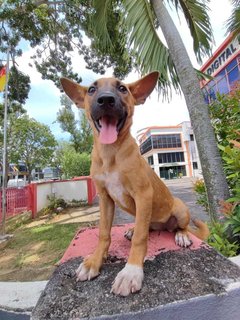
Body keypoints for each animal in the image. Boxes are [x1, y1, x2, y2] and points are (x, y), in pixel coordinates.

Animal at [60, 71, 208, 296]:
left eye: (122, 88)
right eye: (92, 89)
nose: (106, 100)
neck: (111, 153)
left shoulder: (143, 194)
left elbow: (140, 239)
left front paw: (131, 272)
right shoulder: (105, 198)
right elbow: (104, 233)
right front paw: (94, 261)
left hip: (180, 208)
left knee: (175, 227)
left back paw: (181, 235)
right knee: (147, 226)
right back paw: (134, 230)